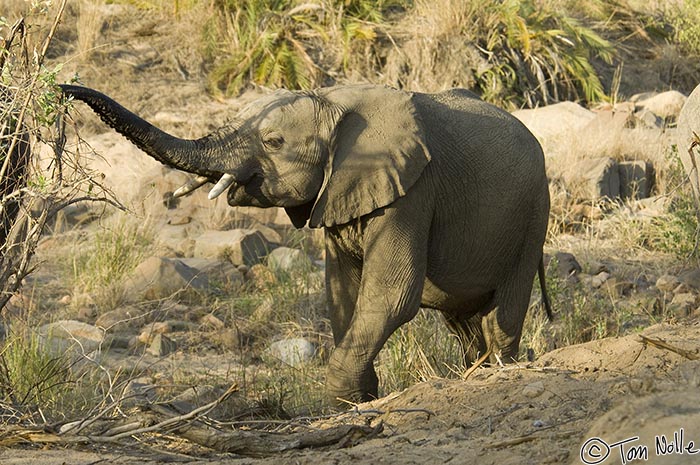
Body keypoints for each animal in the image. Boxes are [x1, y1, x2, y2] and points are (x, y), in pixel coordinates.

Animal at [58, 82, 552, 402]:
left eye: (274, 141)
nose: (63, 88)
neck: (333, 101)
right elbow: (342, 293)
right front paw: (361, 398)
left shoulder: (413, 192)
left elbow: (391, 295)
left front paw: (343, 401)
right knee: (463, 321)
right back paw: (475, 368)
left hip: (533, 213)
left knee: (502, 312)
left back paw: (500, 368)